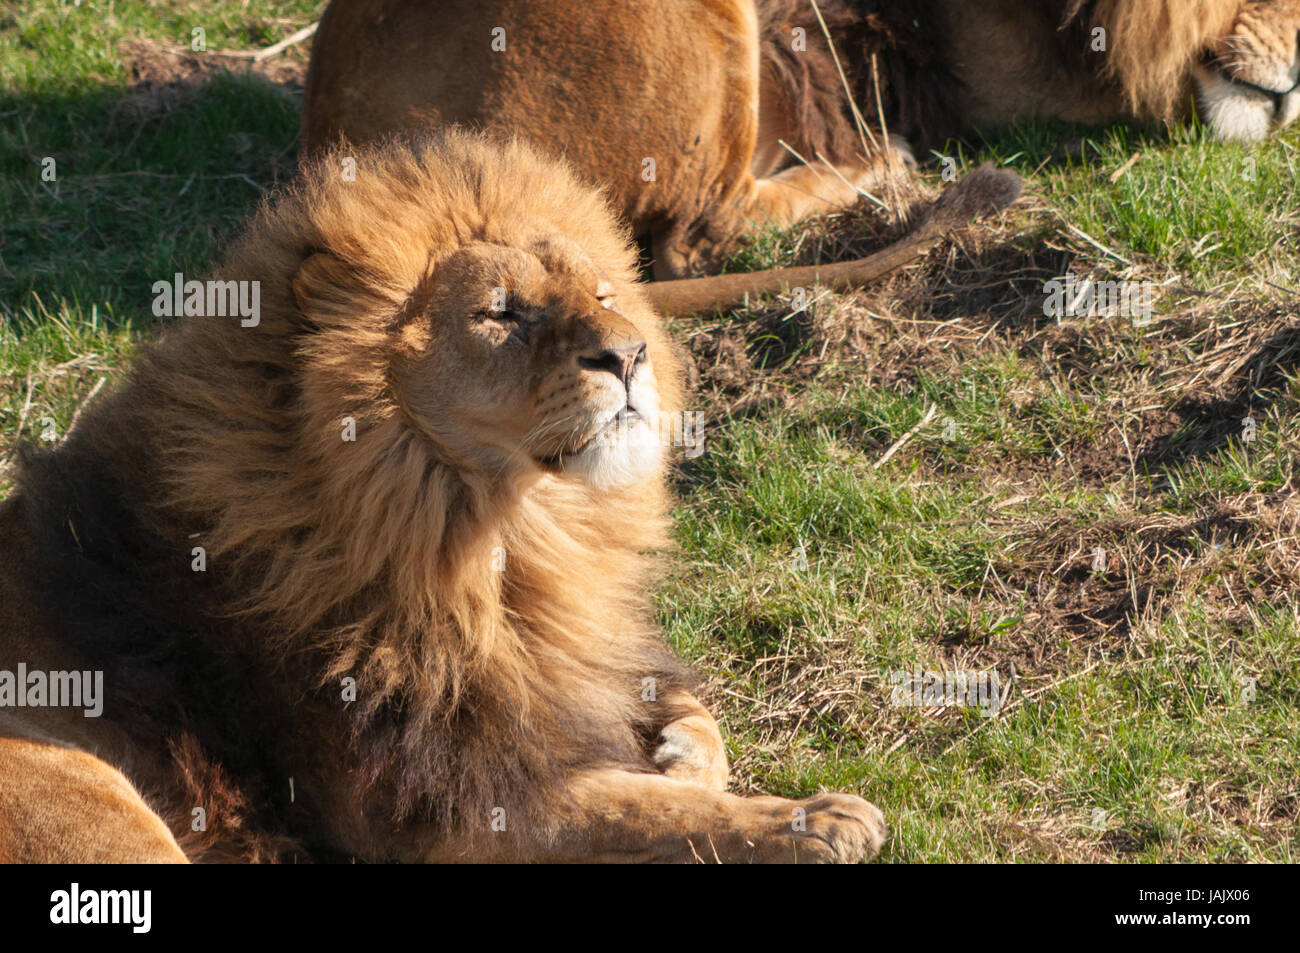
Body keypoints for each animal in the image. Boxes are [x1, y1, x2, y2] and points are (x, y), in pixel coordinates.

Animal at [0, 128, 883, 863]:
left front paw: (679, 752)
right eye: (501, 312)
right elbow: (641, 809)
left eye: (602, 295)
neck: (504, 539)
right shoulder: (440, 809)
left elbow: (692, 733)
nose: (630, 355)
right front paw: (815, 817)